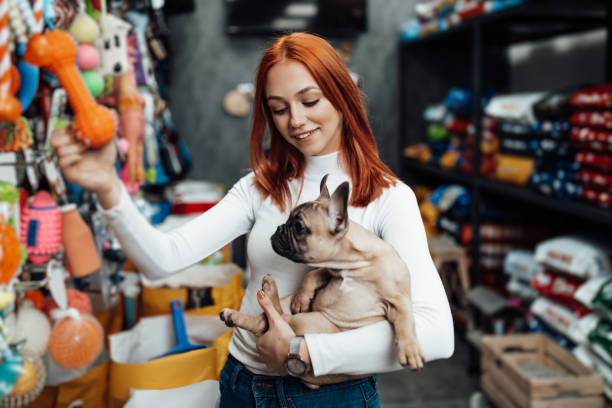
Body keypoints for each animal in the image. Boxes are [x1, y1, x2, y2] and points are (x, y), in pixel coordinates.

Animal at [220, 174, 426, 384]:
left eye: (298, 226)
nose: (279, 228)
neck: (357, 262)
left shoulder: (399, 299)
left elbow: (405, 321)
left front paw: (410, 350)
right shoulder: (331, 268)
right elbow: (313, 274)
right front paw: (302, 298)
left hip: (313, 322)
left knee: (278, 318)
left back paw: (268, 291)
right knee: (265, 320)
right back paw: (238, 311)